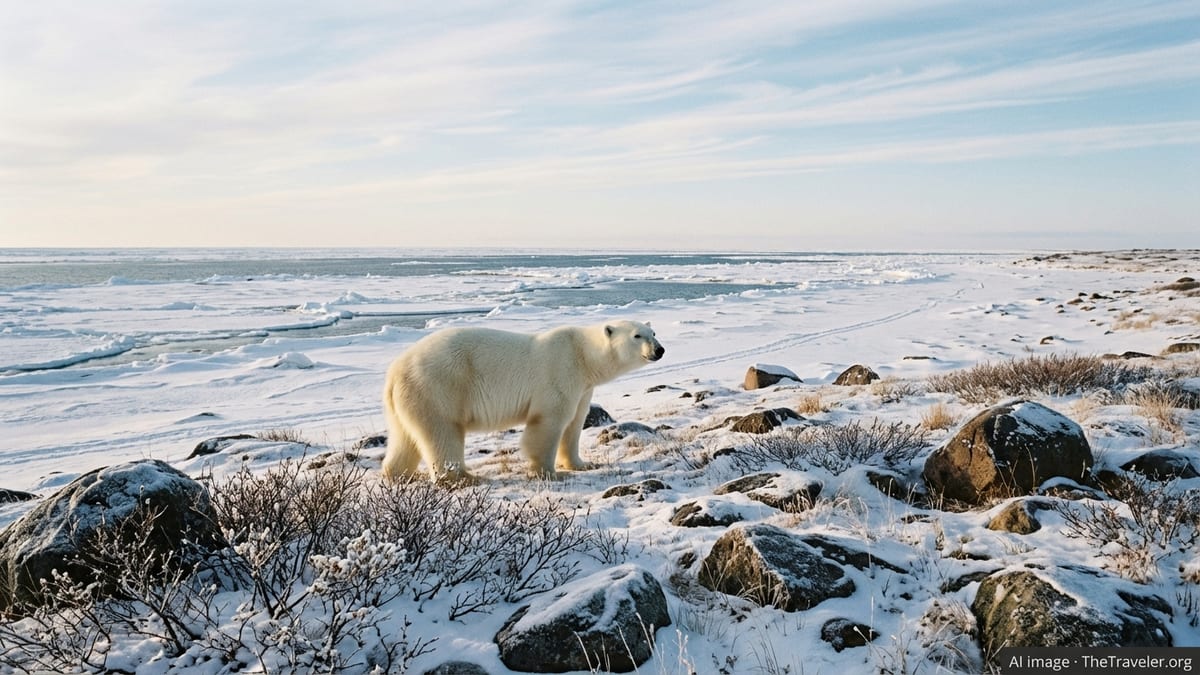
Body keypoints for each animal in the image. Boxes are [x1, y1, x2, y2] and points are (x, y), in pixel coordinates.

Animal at [382, 320, 664, 482]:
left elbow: (575, 423)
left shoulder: (583, 388)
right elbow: (549, 422)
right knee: (442, 432)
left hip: (409, 399)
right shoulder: (559, 372)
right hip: (439, 387)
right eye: (637, 336)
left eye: (653, 332)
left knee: (405, 437)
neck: (583, 356)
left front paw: (581, 464)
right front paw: (548, 472)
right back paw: (464, 477)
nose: (659, 350)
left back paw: (398, 473)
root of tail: (394, 371)